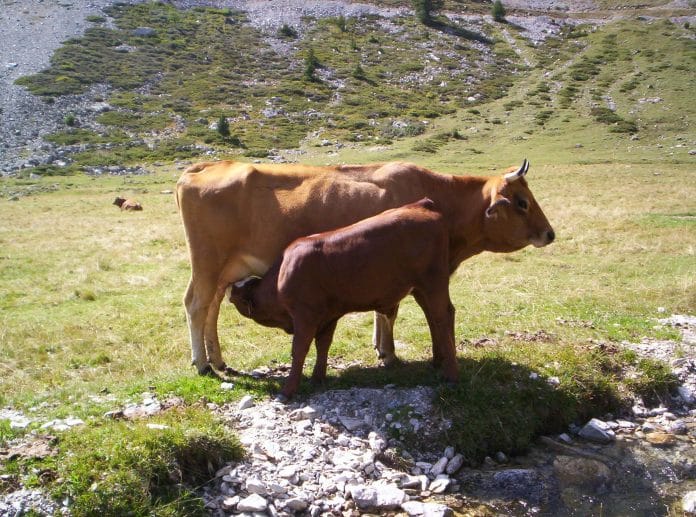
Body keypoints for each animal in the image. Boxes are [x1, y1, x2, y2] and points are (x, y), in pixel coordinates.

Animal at [175, 157, 556, 374]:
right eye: (522, 202)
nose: (549, 233)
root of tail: (208, 166)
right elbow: (390, 311)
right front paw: (388, 353)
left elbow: (384, 310)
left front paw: (380, 346)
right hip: (207, 263)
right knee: (195, 305)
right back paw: (202, 364)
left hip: (225, 270)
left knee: (211, 309)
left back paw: (217, 359)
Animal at [228, 196, 456, 398]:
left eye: (236, 296)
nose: (229, 290)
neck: (282, 274)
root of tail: (421, 204)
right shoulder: (328, 316)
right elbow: (323, 345)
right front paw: (318, 378)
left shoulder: (304, 315)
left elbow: (299, 349)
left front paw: (288, 390)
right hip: (420, 289)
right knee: (434, 317)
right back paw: (438, 361)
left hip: (433, 283)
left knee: (442, 317)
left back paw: (450, 373)